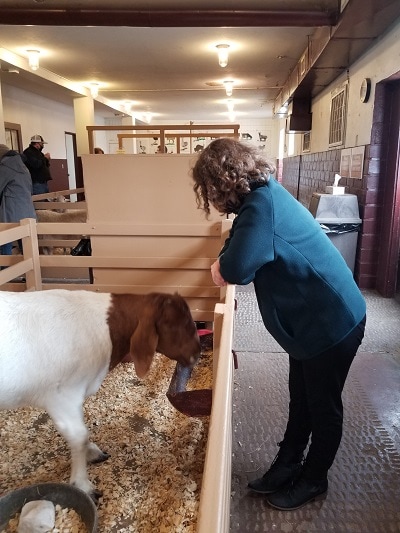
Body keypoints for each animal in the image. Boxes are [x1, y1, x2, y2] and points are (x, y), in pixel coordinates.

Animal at [0, 288, 200, 496]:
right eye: (175, 323)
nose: (198, 351)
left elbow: (81, 430)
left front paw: (92, 453)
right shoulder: (62, 396)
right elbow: (79, 435)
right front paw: (83, 485)